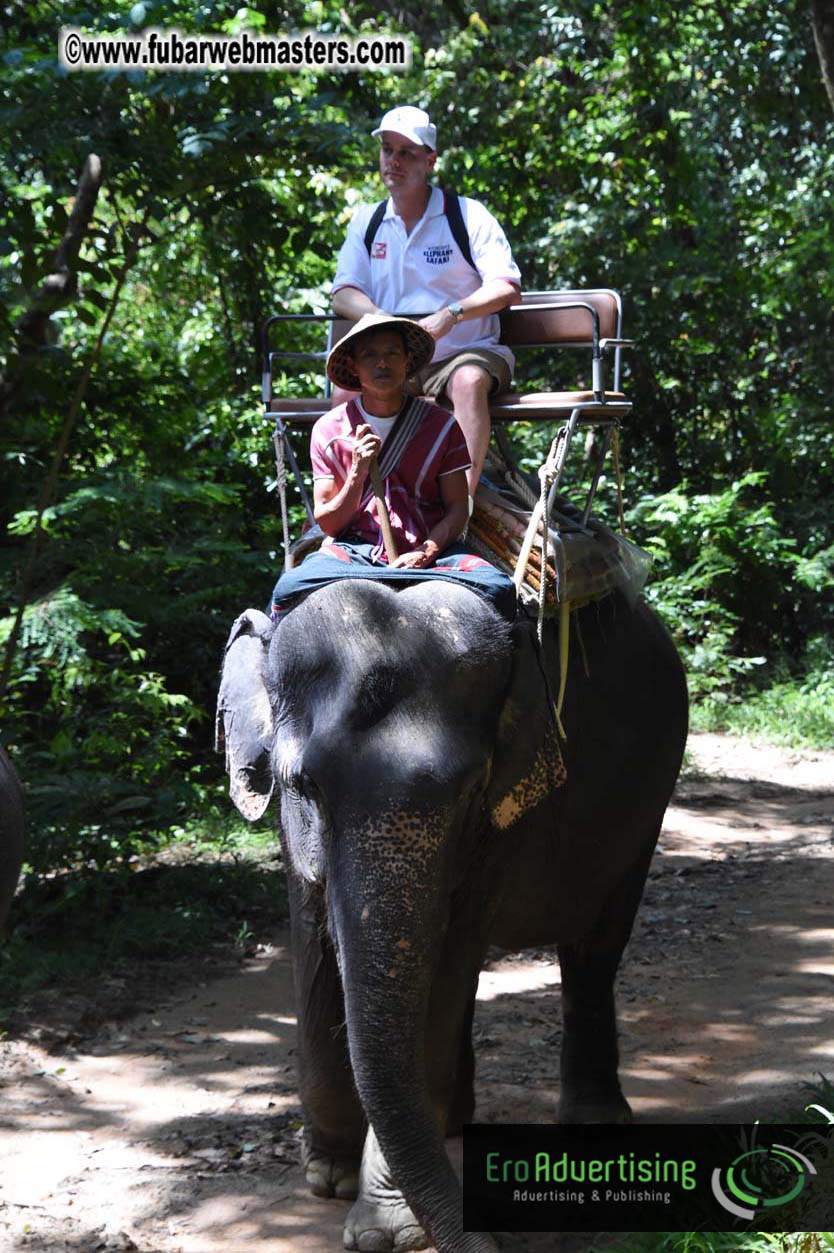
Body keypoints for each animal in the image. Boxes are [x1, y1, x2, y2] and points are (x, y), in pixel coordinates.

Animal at [216, 576, 688, 1253]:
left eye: (469, 790)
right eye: (305, 786)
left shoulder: (505, 813)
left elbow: (447, 957)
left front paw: (388, 1232)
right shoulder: (290, 831)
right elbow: (311, 943)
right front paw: (328, 1175)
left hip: (647, 808)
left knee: (594, 946)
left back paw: (594, 1125)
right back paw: (456, 1124)